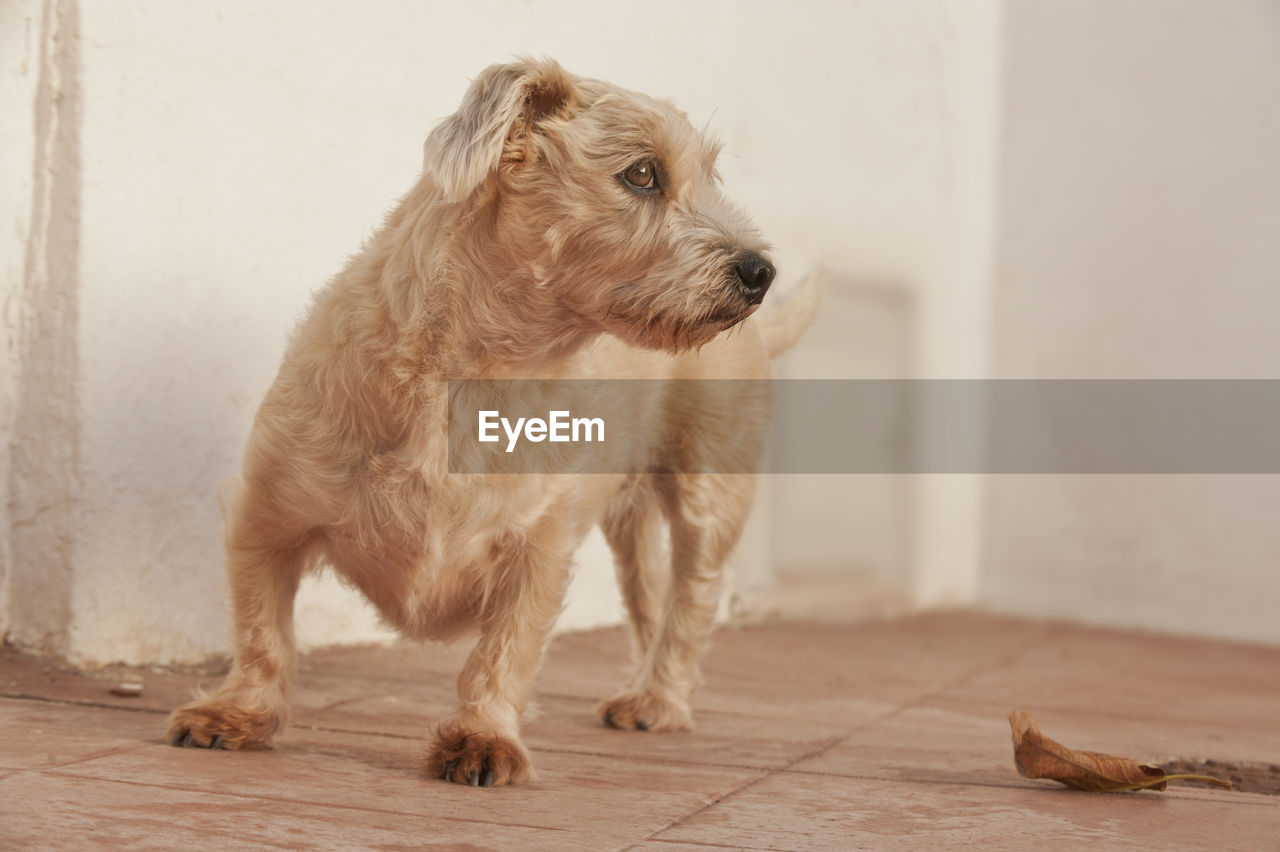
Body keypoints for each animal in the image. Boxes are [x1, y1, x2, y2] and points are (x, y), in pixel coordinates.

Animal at [167, 58, 808, 782]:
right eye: (643, 173)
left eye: (712, 173)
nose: (760, 273)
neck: (480, 377)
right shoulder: (265, 516)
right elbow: (262, 631)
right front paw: (236, 712)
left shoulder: (539, 545)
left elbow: (506, 650)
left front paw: (482, 737)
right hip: (632, 523)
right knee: (649, 598)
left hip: (711, 495)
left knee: (691, 603)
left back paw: (660, 699)